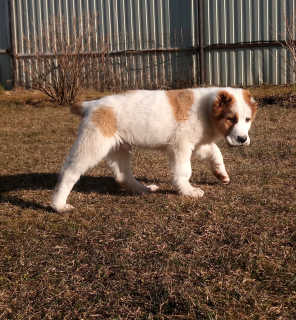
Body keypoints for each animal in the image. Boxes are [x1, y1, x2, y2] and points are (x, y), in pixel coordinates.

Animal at [51, 87, 256, 212]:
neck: (205, 109)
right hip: (93, 144)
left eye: (247, 119)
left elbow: (215, 152)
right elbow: (184, 171)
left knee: (123, 175)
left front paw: (221, 174)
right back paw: (58, 205)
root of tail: (90, 105)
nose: (242, 139)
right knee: (69, 171)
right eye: (231, 119)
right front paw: (187, 191)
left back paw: (144, 189)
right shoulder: (180, 146)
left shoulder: (197, 143)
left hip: (119, 148)